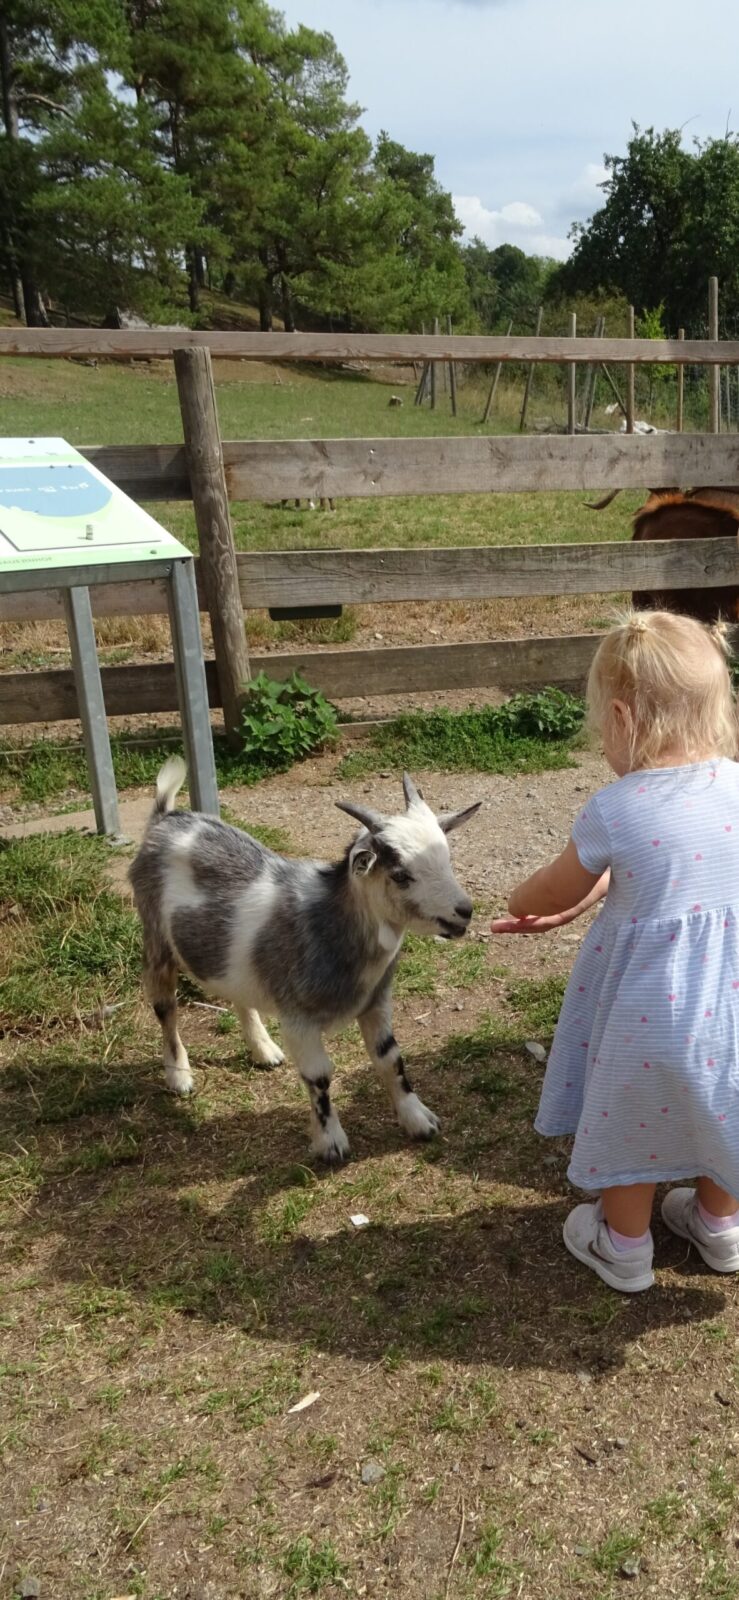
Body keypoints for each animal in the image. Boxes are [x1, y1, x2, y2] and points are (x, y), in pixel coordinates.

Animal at [129, 762, 481, 1163]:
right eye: (401, 875)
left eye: (446, 858)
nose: (463, 911)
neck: (329, 923)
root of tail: (165, 818)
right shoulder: (298, 1019)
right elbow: (319, 1076)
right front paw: (331, 1143)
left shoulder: (376, 1003)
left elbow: (390, 1058)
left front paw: (419, 1120)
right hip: (156, 939)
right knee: (165, 1007)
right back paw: (179, 1075)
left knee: (237, 993)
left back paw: (264, 1050)